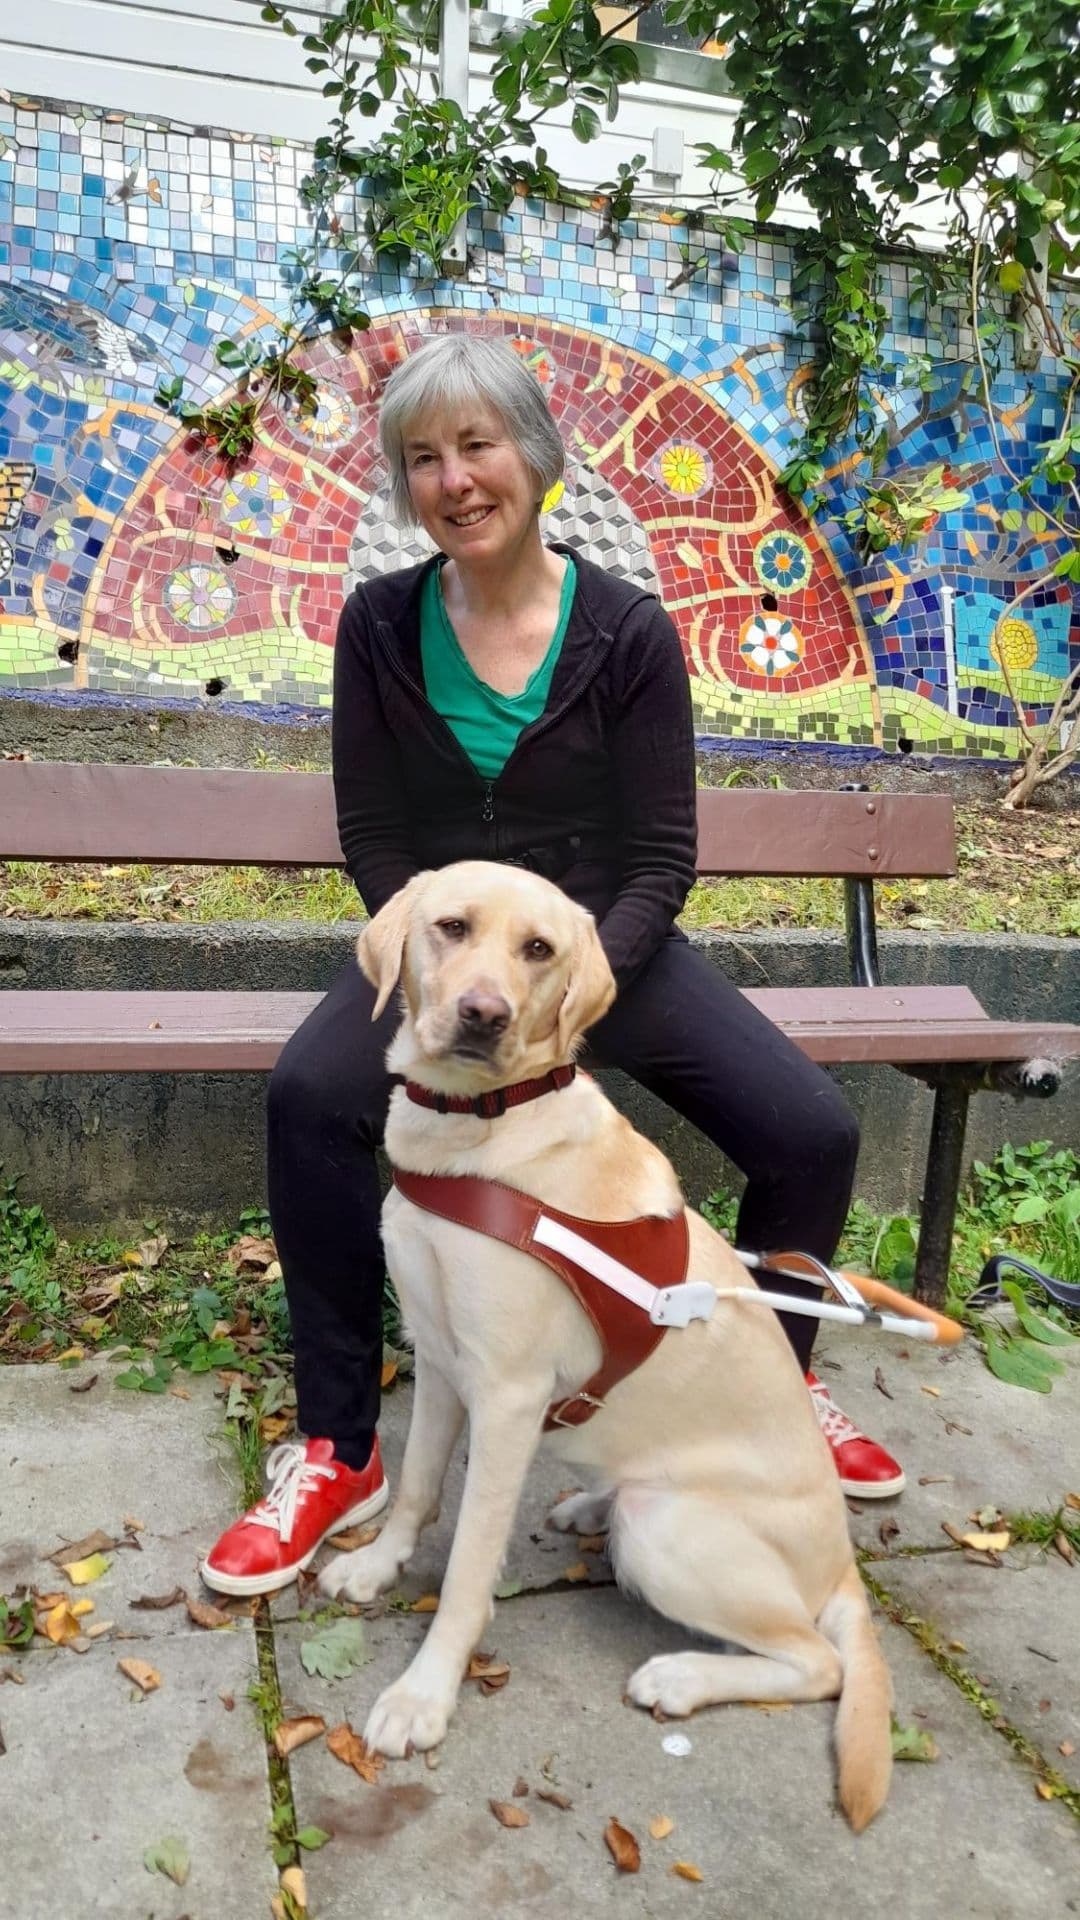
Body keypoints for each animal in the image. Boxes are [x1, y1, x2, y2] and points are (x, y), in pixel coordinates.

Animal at [319, 860, 891, 1827]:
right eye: (451, 927)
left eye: (538, 949)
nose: (483, 1014)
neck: (477, 1129)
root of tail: (843, 1566)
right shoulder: (438, 1358)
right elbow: (420, 1489)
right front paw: (377, 1567)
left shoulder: (507, 1397)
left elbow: (466, 1567)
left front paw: (426, 1694)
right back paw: (589, 1505)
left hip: (668, 1529)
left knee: (818, 1663)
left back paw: (682, 1677)